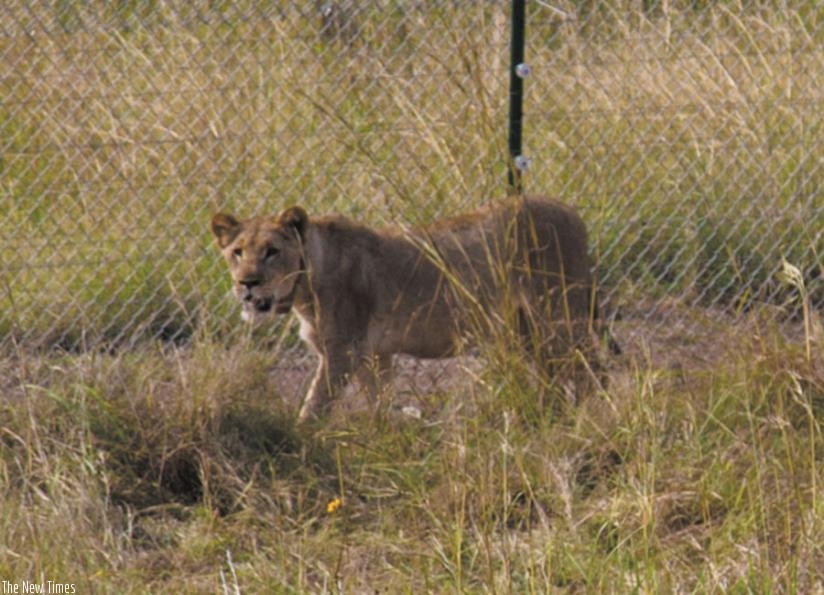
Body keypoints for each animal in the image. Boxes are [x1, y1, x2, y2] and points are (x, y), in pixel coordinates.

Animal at [211, 196, 614, 422]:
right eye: (237, 253)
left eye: (272, 252)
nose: (247, 283)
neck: (303, 287)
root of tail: (572, 214)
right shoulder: (376, 356)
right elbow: (379, 403)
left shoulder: (343, 352)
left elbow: (314, 407)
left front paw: (300, 442)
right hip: (526, 328)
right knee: (555, 374)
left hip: (559, 315)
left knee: (591, 369)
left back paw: (592, 421)